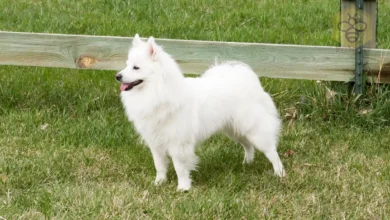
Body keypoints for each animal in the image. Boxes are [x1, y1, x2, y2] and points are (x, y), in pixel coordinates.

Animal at [116, 34, 284, 191]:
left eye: (136, 67)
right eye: (126, 65)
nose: (117, 76)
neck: (158, 92)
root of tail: (248, 81)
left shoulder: (178, 143)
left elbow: (180, 168)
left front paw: (183, 187)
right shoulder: (156, 142)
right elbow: (160, 166)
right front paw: (159, 183)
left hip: (254, 130)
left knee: (271, 151)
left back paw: (279, 173)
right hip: (234, 129)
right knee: (248, 145)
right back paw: (247, 163)